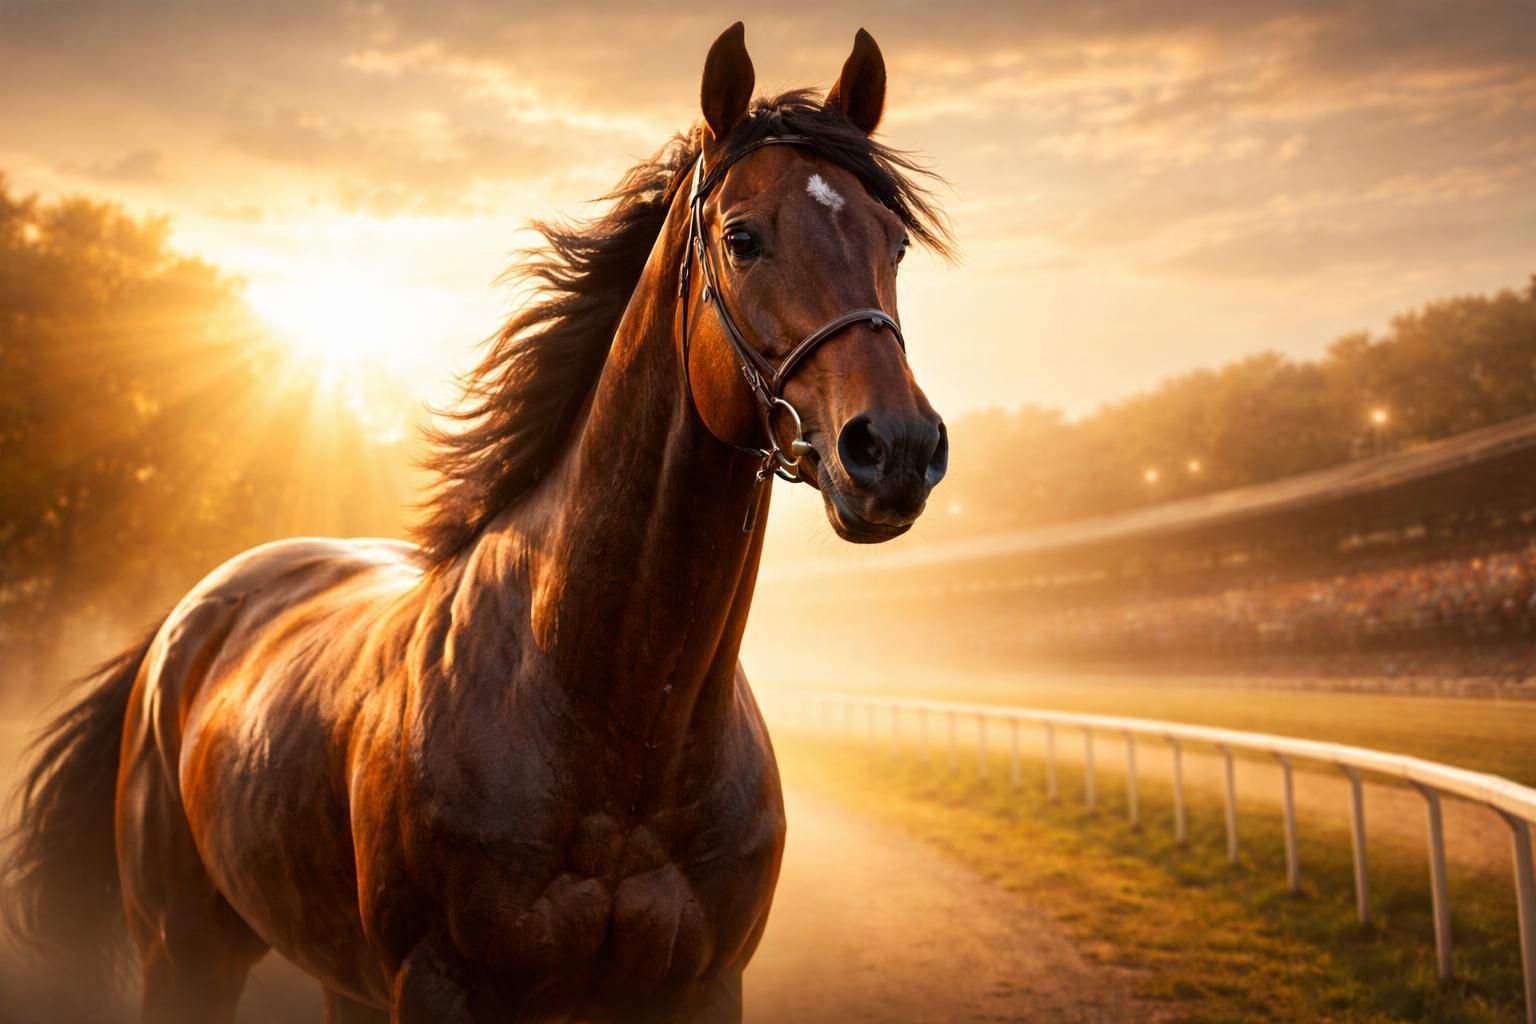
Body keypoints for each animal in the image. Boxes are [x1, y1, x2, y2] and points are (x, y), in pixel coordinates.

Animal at [2, 23, 950, 1023]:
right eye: (743, 237)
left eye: (893, 241)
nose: (893, 447)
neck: (610, 722)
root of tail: (188, 621)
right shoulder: (443, 987)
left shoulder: (701, 988)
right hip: (184, 952)